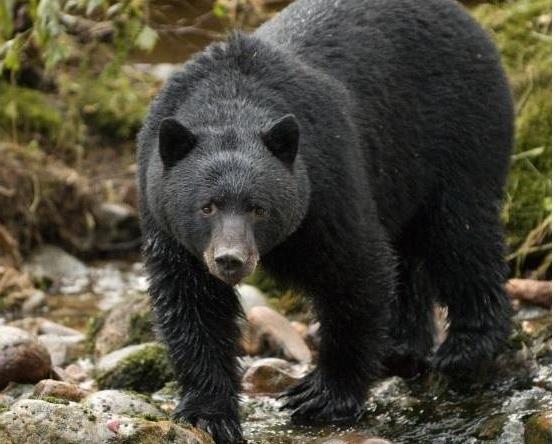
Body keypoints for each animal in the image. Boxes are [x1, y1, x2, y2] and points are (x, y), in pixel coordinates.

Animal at [137, 0, 516, 440]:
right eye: (207, 206)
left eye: (258, 207)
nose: (230, 259)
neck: (231, 100)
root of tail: (470, 21)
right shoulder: (165, 218)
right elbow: (192, 302)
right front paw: (208, 413)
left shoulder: (326, 182)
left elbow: (355, 270)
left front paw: (322, 395)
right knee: (410, 252)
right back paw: (400, 346)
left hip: (461, 133)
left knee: (461, 235)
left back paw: (467, 347)